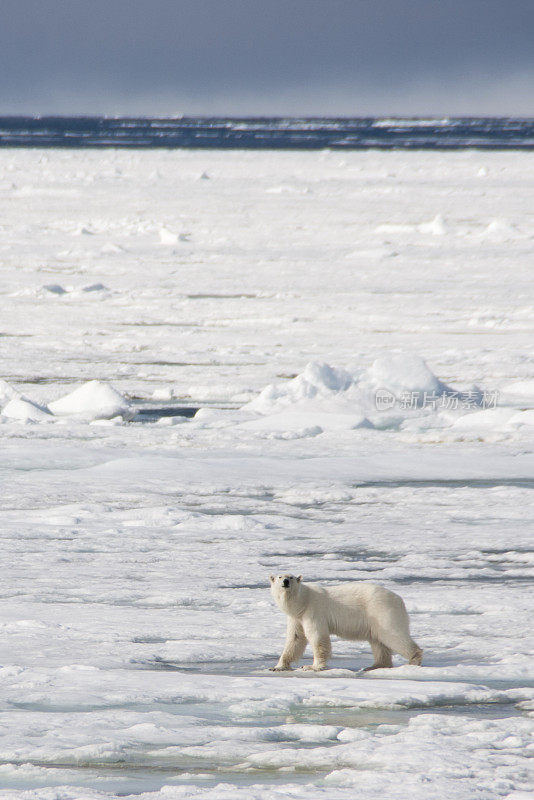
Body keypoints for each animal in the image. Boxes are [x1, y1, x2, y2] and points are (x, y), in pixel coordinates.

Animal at [272, 576, 422, 668]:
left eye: (291, 577)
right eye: (280, 576)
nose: (285, 581)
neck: (303, 601)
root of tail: (399, 599)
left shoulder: (314, 611)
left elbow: (318, 637)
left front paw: (312, 666)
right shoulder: (297, 618)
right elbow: (296, 638)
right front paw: (278, 666)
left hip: (382, 611)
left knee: (392, 635)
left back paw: (414, 659)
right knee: (378, 641)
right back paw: (376, 665)